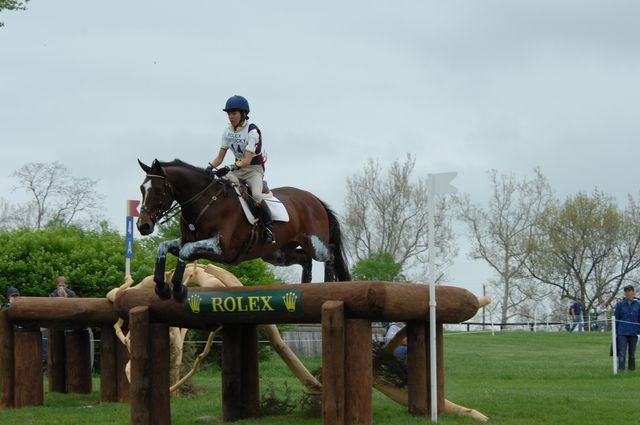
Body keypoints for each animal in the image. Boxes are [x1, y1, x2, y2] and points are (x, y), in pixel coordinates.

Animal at [134, 159, 350, 302]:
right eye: (142, 189)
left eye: (158, 190)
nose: (143, 225)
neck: (205, 202)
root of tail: (314, 199)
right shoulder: (188, 242)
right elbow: (163, 247)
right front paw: (161, 287)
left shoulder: (220, 248)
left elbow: (185, 252)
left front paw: (178, 288)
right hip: (278, 253)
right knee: (304, 259)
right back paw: (305, 287)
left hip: (314, 243)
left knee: (330, 253)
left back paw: (329, 286)